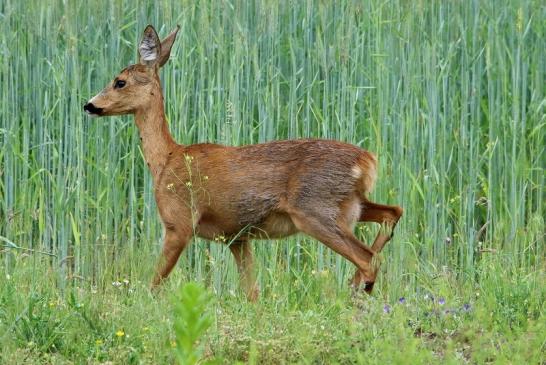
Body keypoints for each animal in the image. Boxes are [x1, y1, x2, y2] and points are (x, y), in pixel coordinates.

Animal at [84, 24, 400, 298]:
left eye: (119, 82)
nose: (89, 105)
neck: (166, 160)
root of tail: (368, 160)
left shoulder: (179, 222)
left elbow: (154, 284)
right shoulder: (237, 237)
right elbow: (252, 292)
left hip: (315, 209)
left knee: (369, 258)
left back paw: (357, 291)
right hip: (351, 204)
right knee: (392, 213)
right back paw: (356, 285)